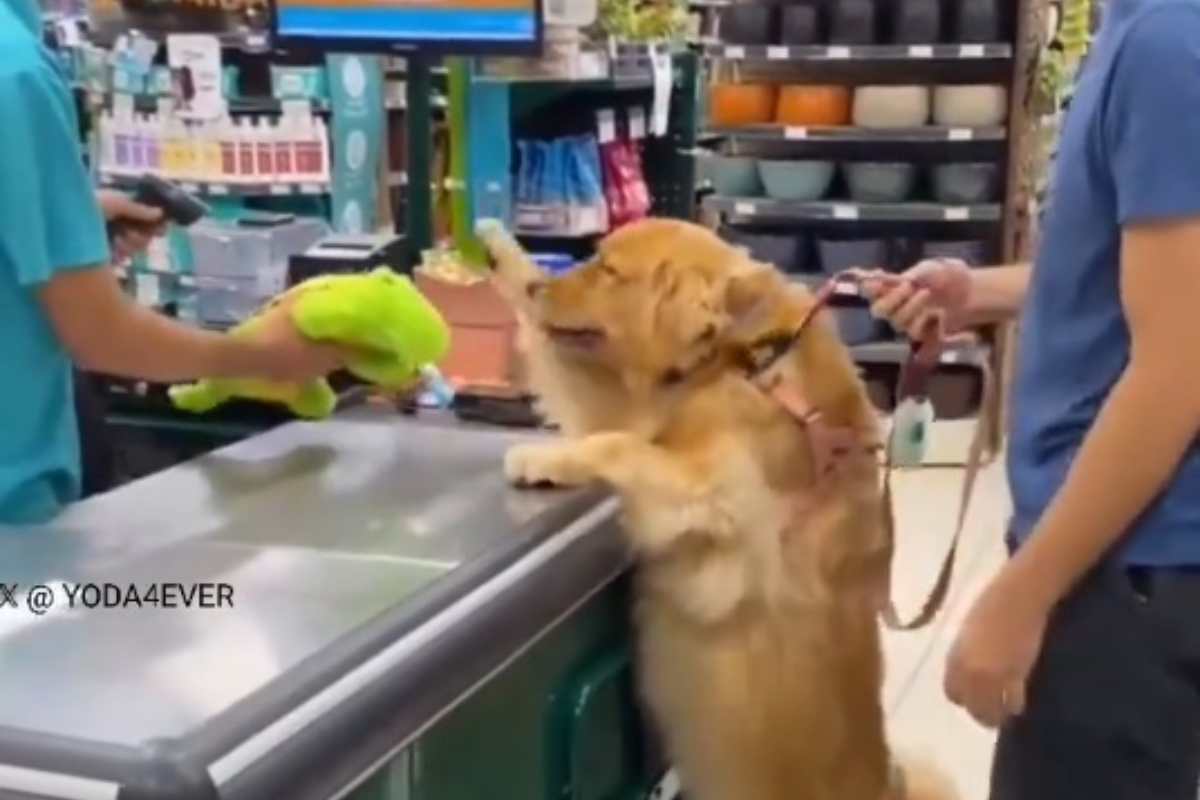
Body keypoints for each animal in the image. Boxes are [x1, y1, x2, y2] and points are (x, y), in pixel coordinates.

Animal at [477, 217, 955, 800]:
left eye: (609, 269)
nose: (539, 288)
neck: (744, 359)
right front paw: (499, 248)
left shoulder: (713, 491)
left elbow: (618, 445)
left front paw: (540, 457)